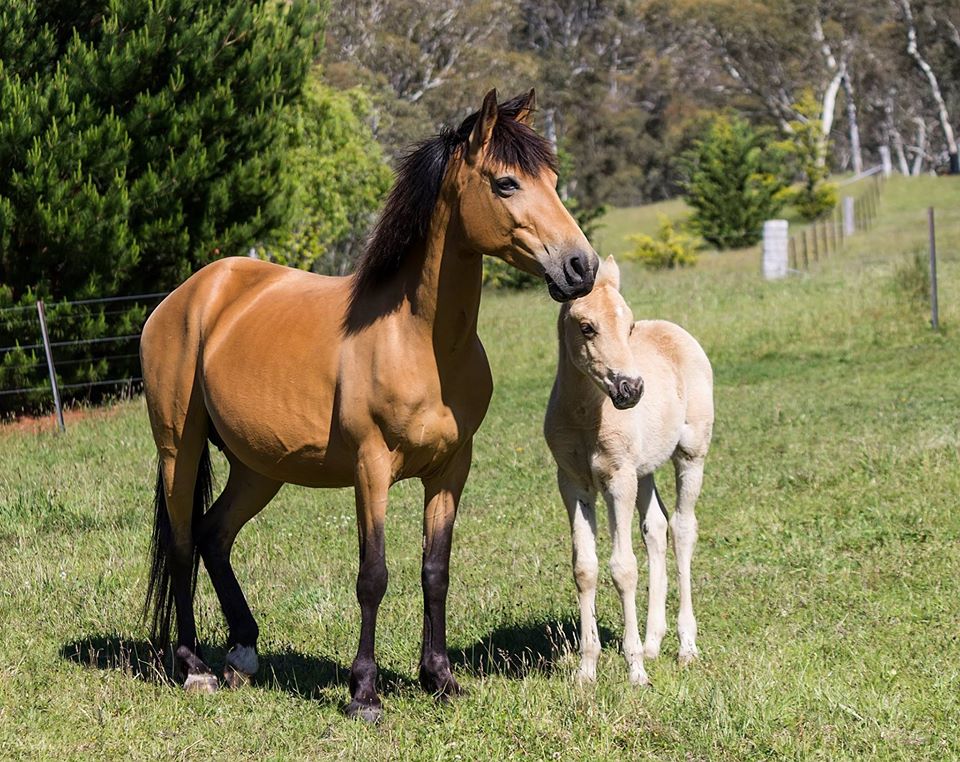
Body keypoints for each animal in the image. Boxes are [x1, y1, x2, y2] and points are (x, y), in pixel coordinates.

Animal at [141, 89, 600, 720]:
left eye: (553, 179)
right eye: (506, 183)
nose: (582, 267)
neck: (418, 338)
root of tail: (189, 295)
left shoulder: (451, 469)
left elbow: (435, 571)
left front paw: (440, 678)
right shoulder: (371, 468)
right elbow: (373, 575)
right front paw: (364, 692)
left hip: (258, 467)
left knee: (214, 535)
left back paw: (242, 653)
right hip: (178, 450)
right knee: (185, 542)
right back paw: (194, 667)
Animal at [544, 255, 708, 684]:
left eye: (629, 326)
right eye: (587, 327)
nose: (631, 389)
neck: (586, 416)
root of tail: (674, 329)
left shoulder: (617, 480)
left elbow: (623, 568)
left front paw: (634, 670)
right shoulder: (573, 484)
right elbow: (585, 568)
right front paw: (587, 669)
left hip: (690, 454)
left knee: (682, 528)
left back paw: (685, 647)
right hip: (644, 470)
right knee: (657, 527)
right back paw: (653, 643)